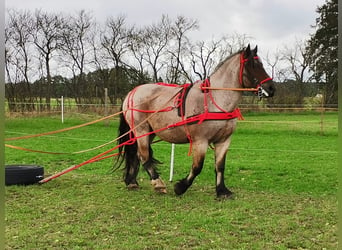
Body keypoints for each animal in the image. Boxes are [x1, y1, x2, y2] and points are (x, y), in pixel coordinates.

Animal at [115, 44, 276, 198]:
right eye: (252, 65)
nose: (271, 88)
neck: (214, 99)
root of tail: (132, 92)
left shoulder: (224, 141)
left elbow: (220, 166)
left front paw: (222, 191)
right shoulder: (201, 141)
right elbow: (197, 167)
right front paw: (180, 187)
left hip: (149, 132)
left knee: (136, 154)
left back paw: (132, 182)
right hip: (140, 130)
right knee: (144, 156)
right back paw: (158, 183)